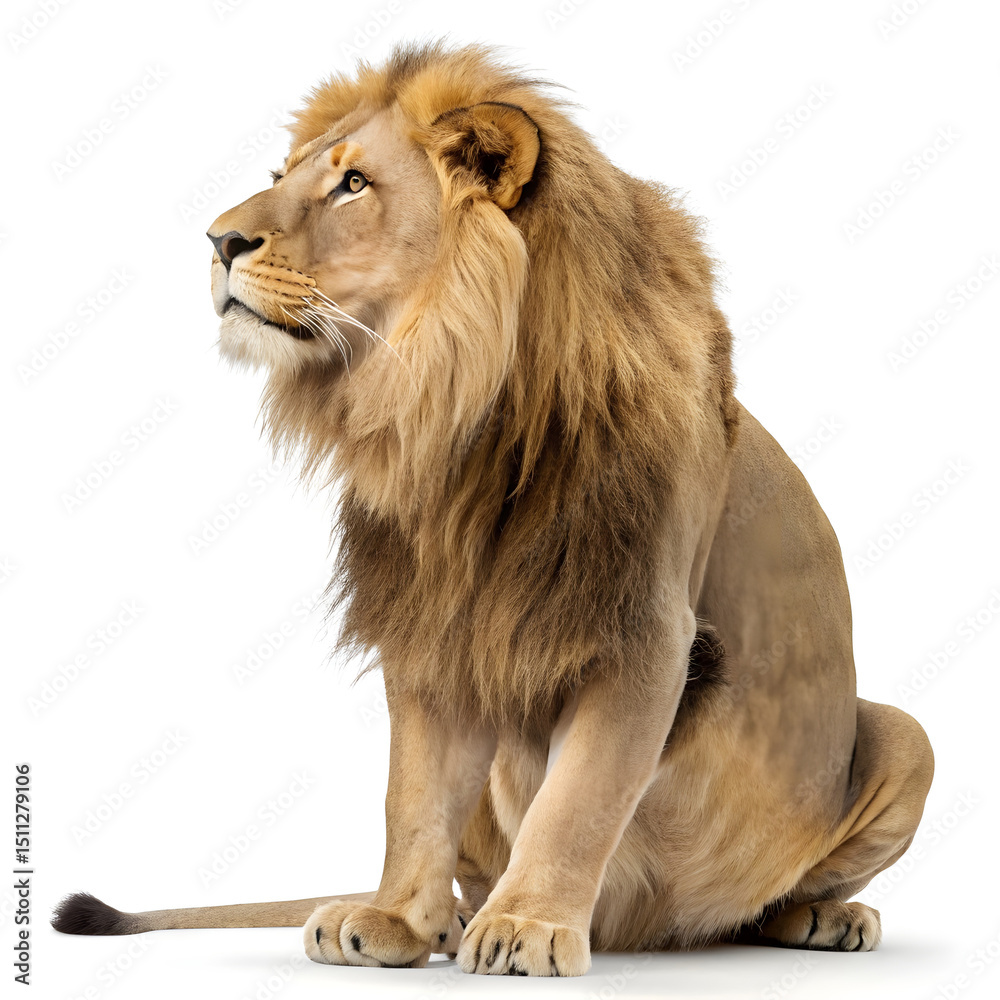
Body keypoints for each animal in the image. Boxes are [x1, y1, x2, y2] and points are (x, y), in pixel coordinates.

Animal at [52, 41, 934, 976]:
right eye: (281, 177)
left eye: (353, 184)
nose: (218, 240)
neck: (456, 416)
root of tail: (652, 934)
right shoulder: (437, 626)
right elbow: (414, 796)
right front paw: (397, 919)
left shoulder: (645, 631)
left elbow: (579, 800)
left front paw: (530, 927)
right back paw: (451, 918)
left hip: (904, 734)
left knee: (774, 891)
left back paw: (820, 916)